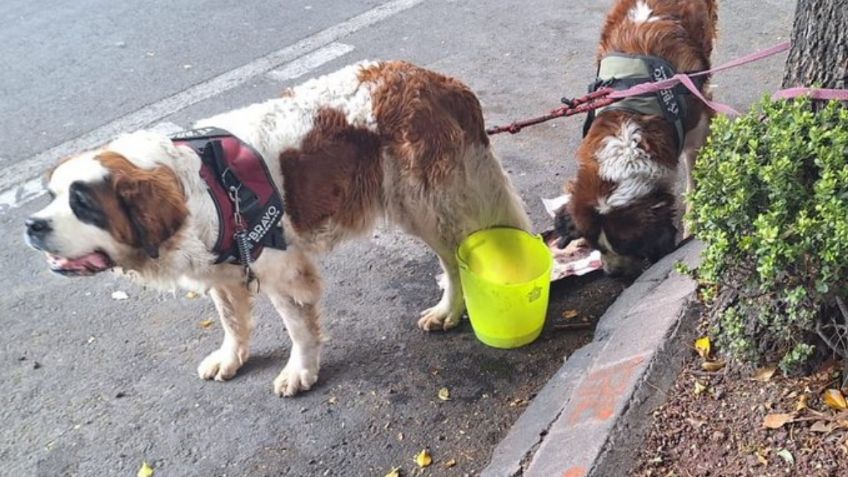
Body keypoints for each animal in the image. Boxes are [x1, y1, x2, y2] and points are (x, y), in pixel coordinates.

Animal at [23, 63, 528, 398]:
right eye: (50, 195)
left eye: (83, 203)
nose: (31, 224)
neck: (194, 186)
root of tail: (439, 81)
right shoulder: (226, 271)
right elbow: (231, 318)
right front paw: (231, 357)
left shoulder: (281, 269)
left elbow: (297, 326)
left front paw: (300, 372)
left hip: (426, 203)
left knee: (456, 262)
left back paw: (448, 310)